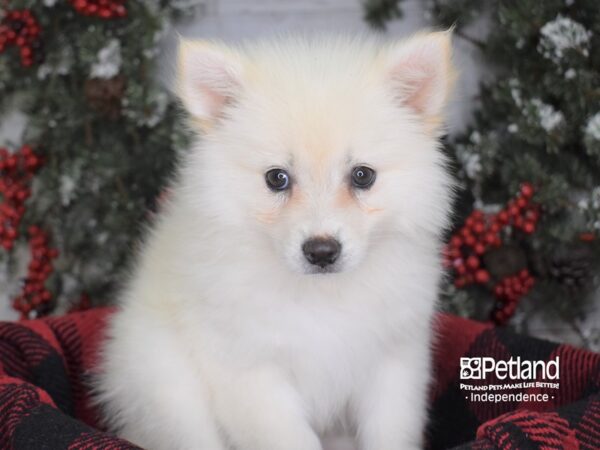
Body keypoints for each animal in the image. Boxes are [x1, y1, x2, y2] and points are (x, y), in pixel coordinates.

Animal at [97, 32, 454, 450]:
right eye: (276, 178)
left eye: (363, 175)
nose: (321, 251)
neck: (323, 296)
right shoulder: (251, 372)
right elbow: (292, 439)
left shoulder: (395, 362)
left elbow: (391, 434)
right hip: (167, 389)